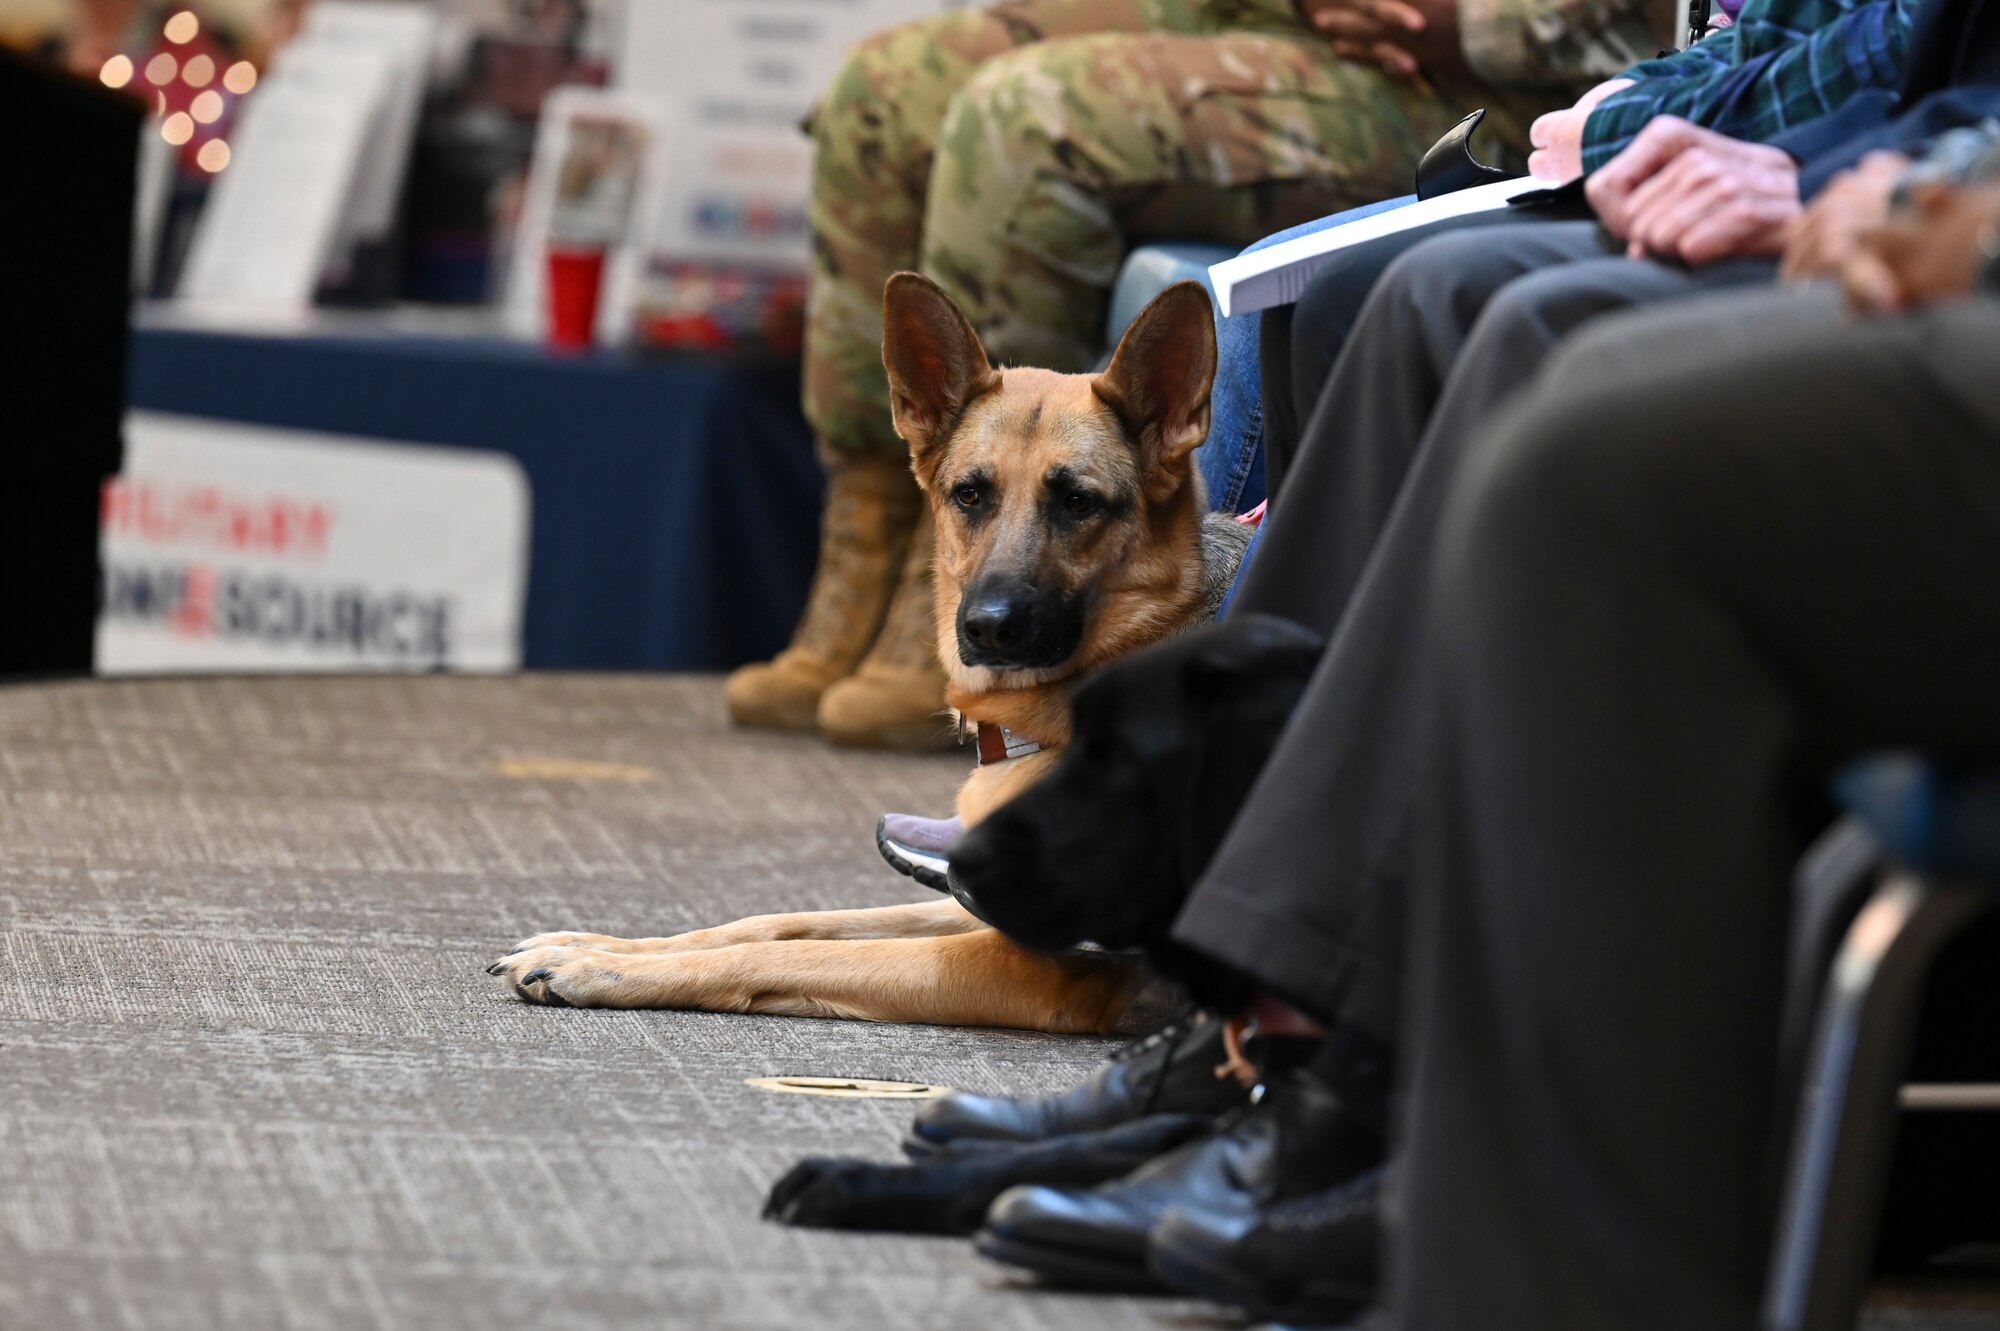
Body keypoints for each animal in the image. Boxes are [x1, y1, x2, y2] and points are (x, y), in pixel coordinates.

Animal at [484, 271, 1240, 1023]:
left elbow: (791, 954)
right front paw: (599, 942)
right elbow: (782, 922)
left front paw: (605, 967)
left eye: (1078, 502)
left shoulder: (1034, 961)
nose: (987, 628)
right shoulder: (970, 908)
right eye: (970, 495)